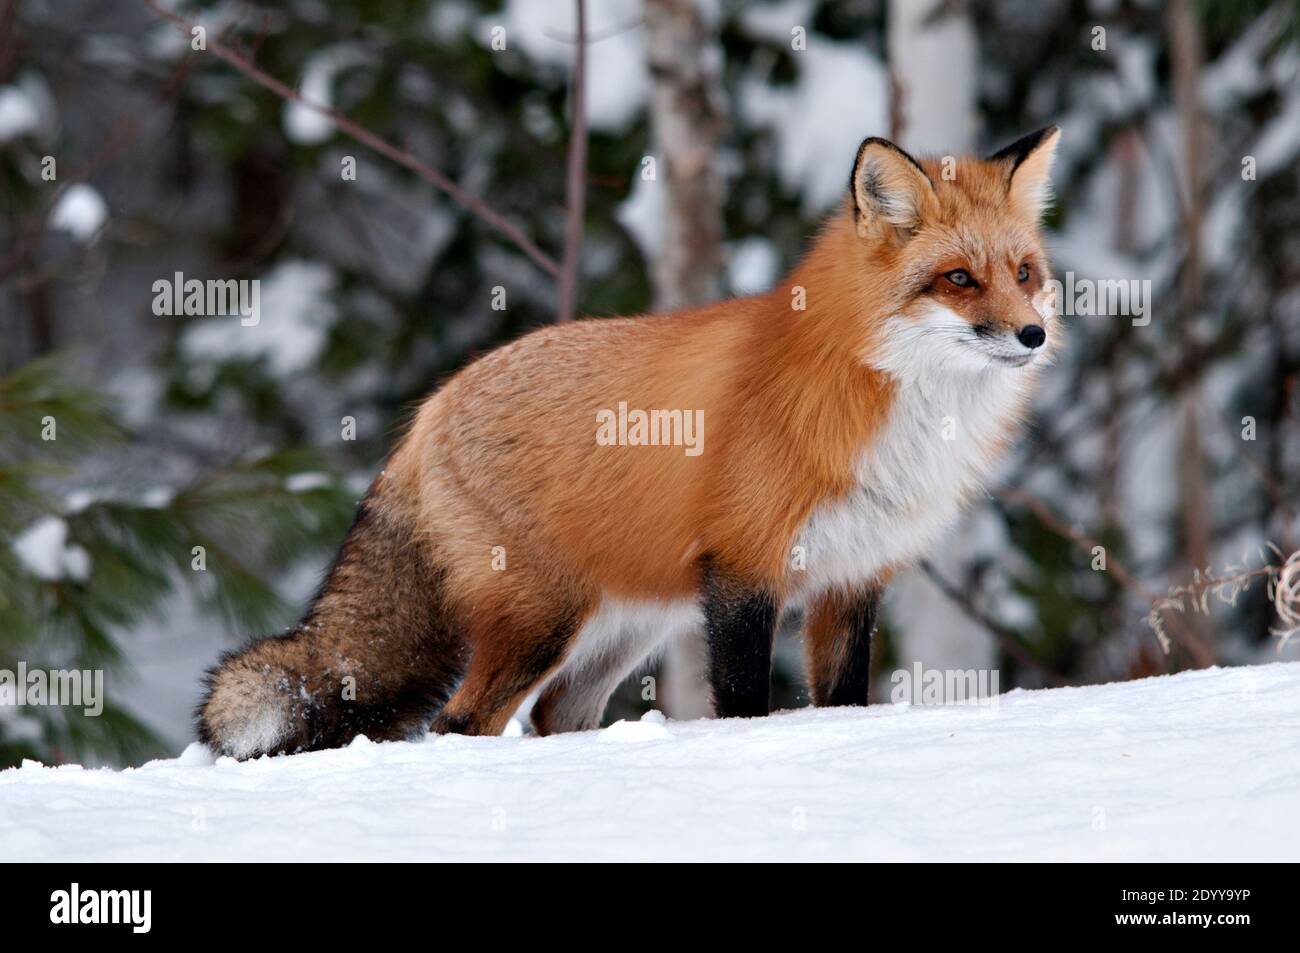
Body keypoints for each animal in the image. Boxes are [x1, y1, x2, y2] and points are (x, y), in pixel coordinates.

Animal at [197, 126, 1060, 754]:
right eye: (958, 279)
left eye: (1023, 272)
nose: (1034, 334)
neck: (885, 396)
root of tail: (430, 409)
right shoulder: (744, 567)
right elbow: (742, 706)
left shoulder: (852, 575)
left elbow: (842, 697)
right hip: (543, 620)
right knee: (460, 722)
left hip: (618, 627)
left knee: (553, 715)